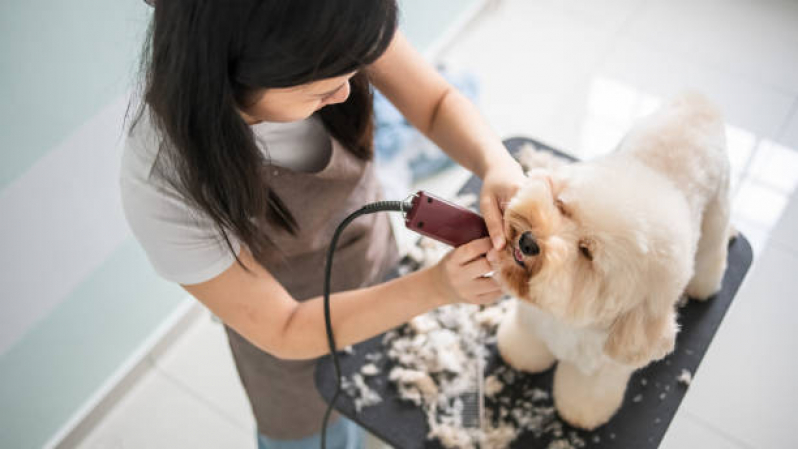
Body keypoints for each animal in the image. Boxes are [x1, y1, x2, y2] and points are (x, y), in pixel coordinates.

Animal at [496, 92, 736, 428]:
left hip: (717, 208)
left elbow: (585, 397)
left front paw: (580, 415)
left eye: (587, 252)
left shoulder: (601, 368)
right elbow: (524, 346)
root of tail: (700, 104)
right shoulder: (532, 322)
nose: (528, 241)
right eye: (562, 206)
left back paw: (705, 283)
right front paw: (517, 355)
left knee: (712, 251)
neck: (567, 320)